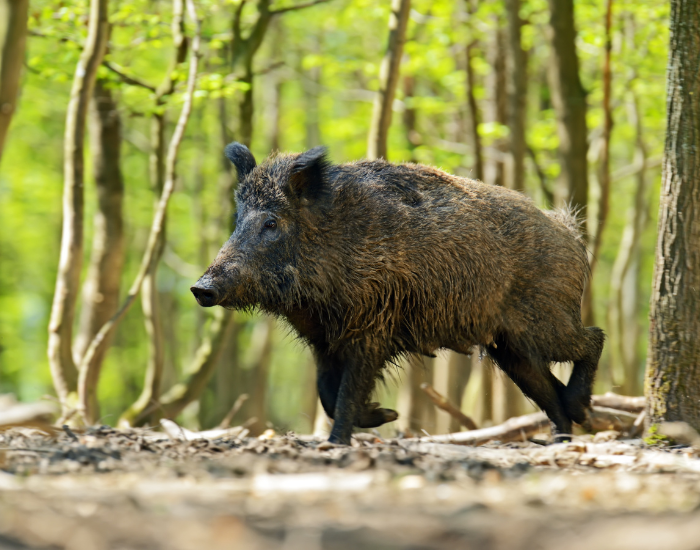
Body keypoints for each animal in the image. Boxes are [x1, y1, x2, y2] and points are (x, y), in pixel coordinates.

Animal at [191, 142, 605, 445]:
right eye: (237, 220)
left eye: (271, 222)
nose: (200, 288)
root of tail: (570, 231)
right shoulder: (324, 339)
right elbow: (326, 392)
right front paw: (383, 416)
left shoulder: (372, 329)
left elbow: (346, 392)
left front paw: (341, 442)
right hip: (510, 347)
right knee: (547, 388)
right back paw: (561, 436)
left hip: (544, 322)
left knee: (593, 338)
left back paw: (579, 413)